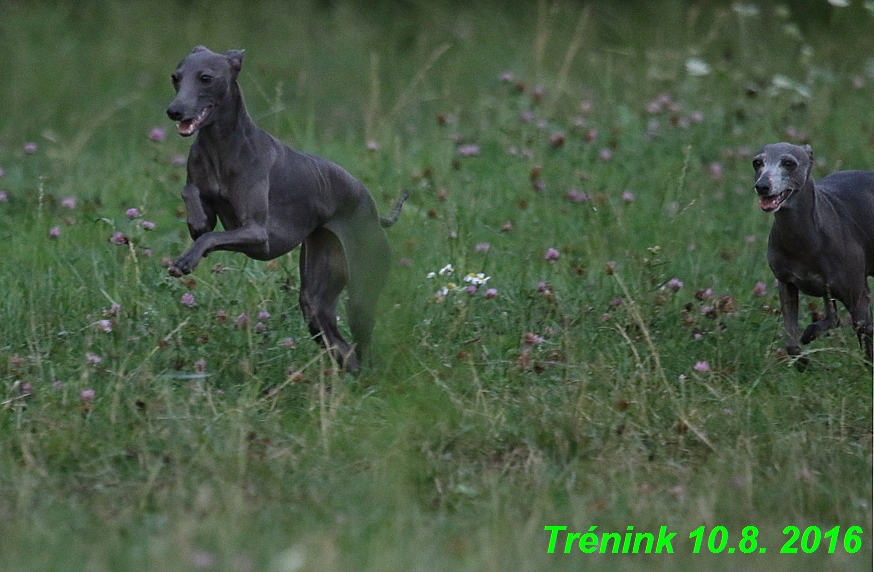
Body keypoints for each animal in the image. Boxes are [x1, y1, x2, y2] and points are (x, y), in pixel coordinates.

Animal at [166, 47, 406, 374]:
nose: (174, 111)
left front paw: (186, 260)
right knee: (340, 345)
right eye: (175, 78)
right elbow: (194, 203)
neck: (221, 147)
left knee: (360, 341)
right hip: (317, 296)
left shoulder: (258, 235)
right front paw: (197, 219)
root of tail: (375, 215)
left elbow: (210, 238)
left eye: (205, 78)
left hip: (361, 289)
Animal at [748, 142, 872, 362]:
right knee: (833, 316)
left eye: (789, 163)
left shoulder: (857, 297)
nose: (762, 186)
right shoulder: (786, 285)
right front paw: (802, 359)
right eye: (757, 162)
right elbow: (791, 342)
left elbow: (866, 339)